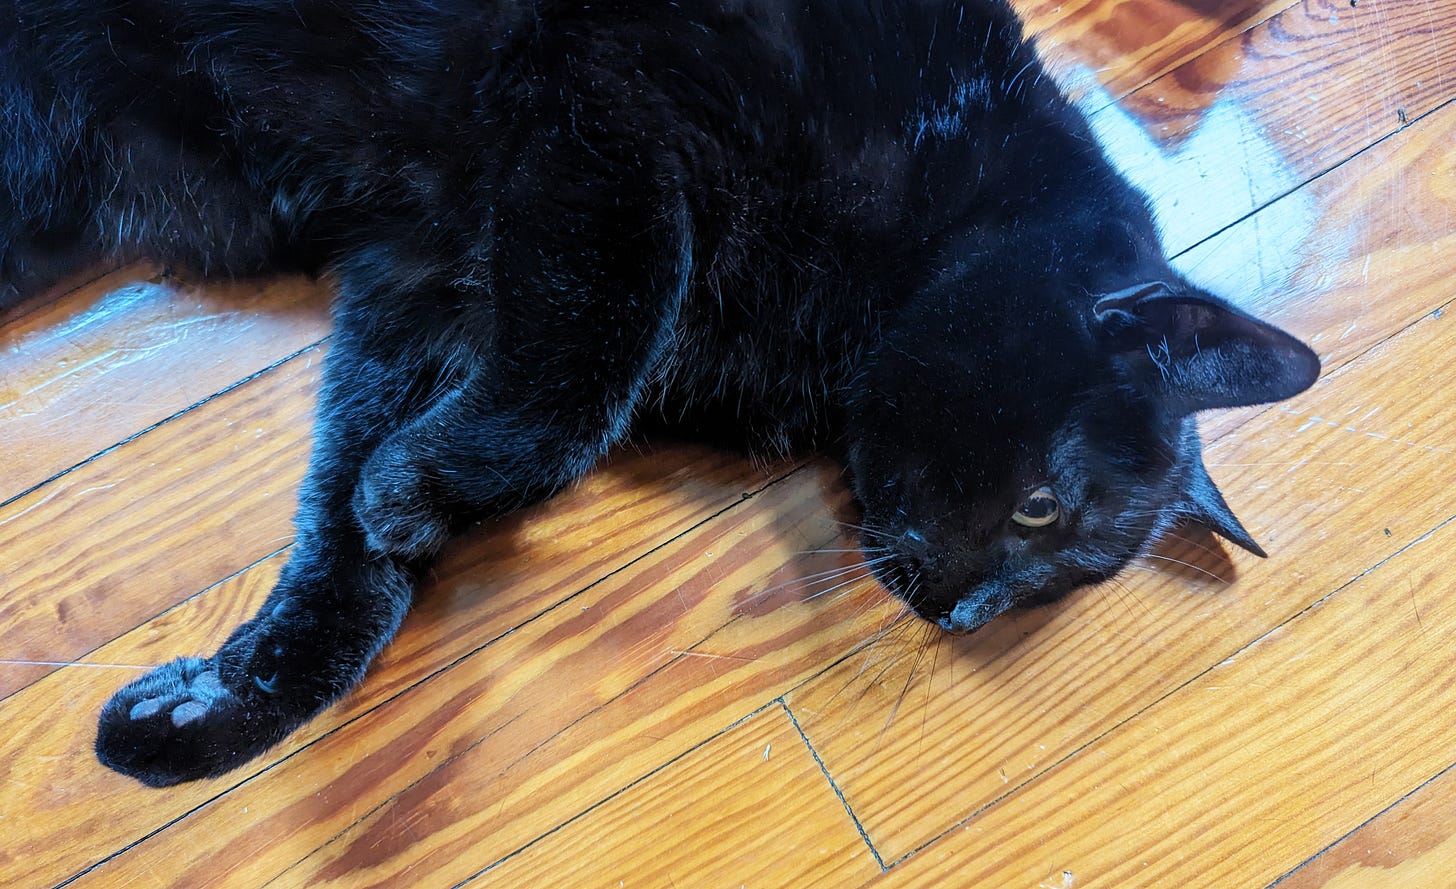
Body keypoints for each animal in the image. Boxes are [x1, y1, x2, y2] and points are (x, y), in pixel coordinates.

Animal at [0, 1, 1322, 791]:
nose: (964, 617)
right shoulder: (602, 125)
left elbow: (346, 531)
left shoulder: (423, 285)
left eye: (1058, 582)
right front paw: (420, 487)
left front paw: (235, 697)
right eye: (1043, 511)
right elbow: (595, 354)